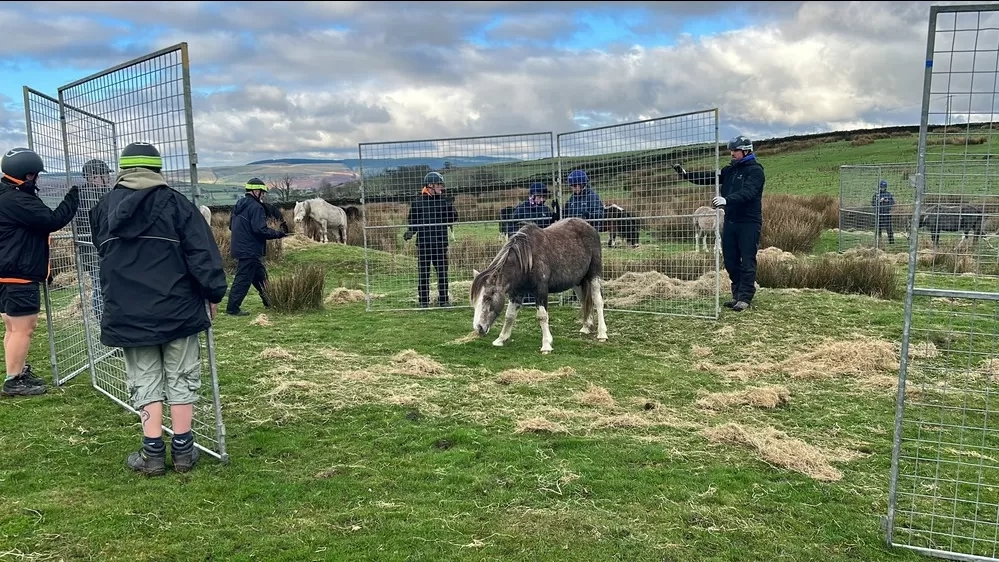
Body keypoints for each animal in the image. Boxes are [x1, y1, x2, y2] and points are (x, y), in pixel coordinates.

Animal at [470, 217, 608, 352]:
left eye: (488, 298)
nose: (478, 328)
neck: (526, 261)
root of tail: (589, 226)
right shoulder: (516, 293)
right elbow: (509, 315)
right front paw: (501, 339)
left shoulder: (541, 290)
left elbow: (542, 316)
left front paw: (546, 345)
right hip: (577, 281)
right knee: (584, 301)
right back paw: (586, 326)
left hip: (594, 274)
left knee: (597, 300)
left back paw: (602, 334)